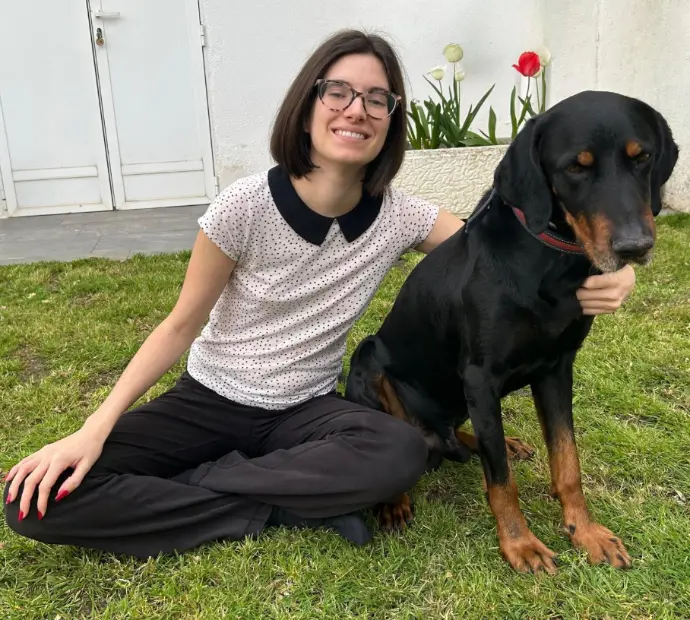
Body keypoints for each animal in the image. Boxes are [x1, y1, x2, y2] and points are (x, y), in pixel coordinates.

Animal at [345, 90, 678, 574]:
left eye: (643, 157)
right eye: (575, 167)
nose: (635, 247)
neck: (549, 261)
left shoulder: (557, 368)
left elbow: (567, 461)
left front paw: (585, 532)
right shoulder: (480, 377)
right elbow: (501, 481)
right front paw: (520, 544)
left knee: (466, 436)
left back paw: (502, 442)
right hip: (369, 358)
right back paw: (396, 501)